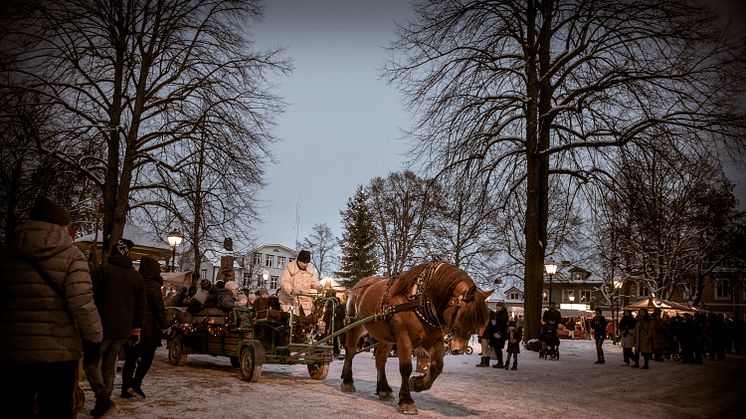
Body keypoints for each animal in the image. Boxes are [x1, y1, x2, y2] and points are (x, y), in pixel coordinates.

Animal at [340, 260, 492, 416]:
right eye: (464, 315)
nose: (459, 349)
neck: (420, 299)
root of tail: (358, 286)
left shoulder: (434, 340)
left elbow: (437, 366)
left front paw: (417, 384)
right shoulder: (404, 338)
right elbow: (406, 368)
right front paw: (406, 401)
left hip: (384, 337)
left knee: (380, 359)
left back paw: (383, 389)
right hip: (354, 326)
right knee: (350, 352)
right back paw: (347, 381)